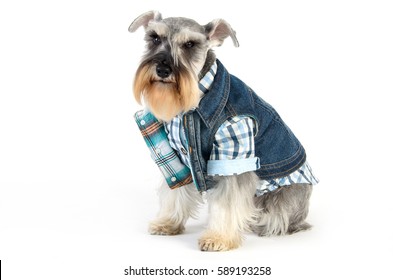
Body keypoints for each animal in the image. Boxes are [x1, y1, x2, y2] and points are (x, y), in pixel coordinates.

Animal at [129, 10, 318, 252]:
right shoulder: (178, 156)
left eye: (190, 44)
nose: (163, 69)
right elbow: (175, 191)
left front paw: (218, 238)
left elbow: (228, 202)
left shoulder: (233, 153)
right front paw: (167, 222)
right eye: (154, 38)